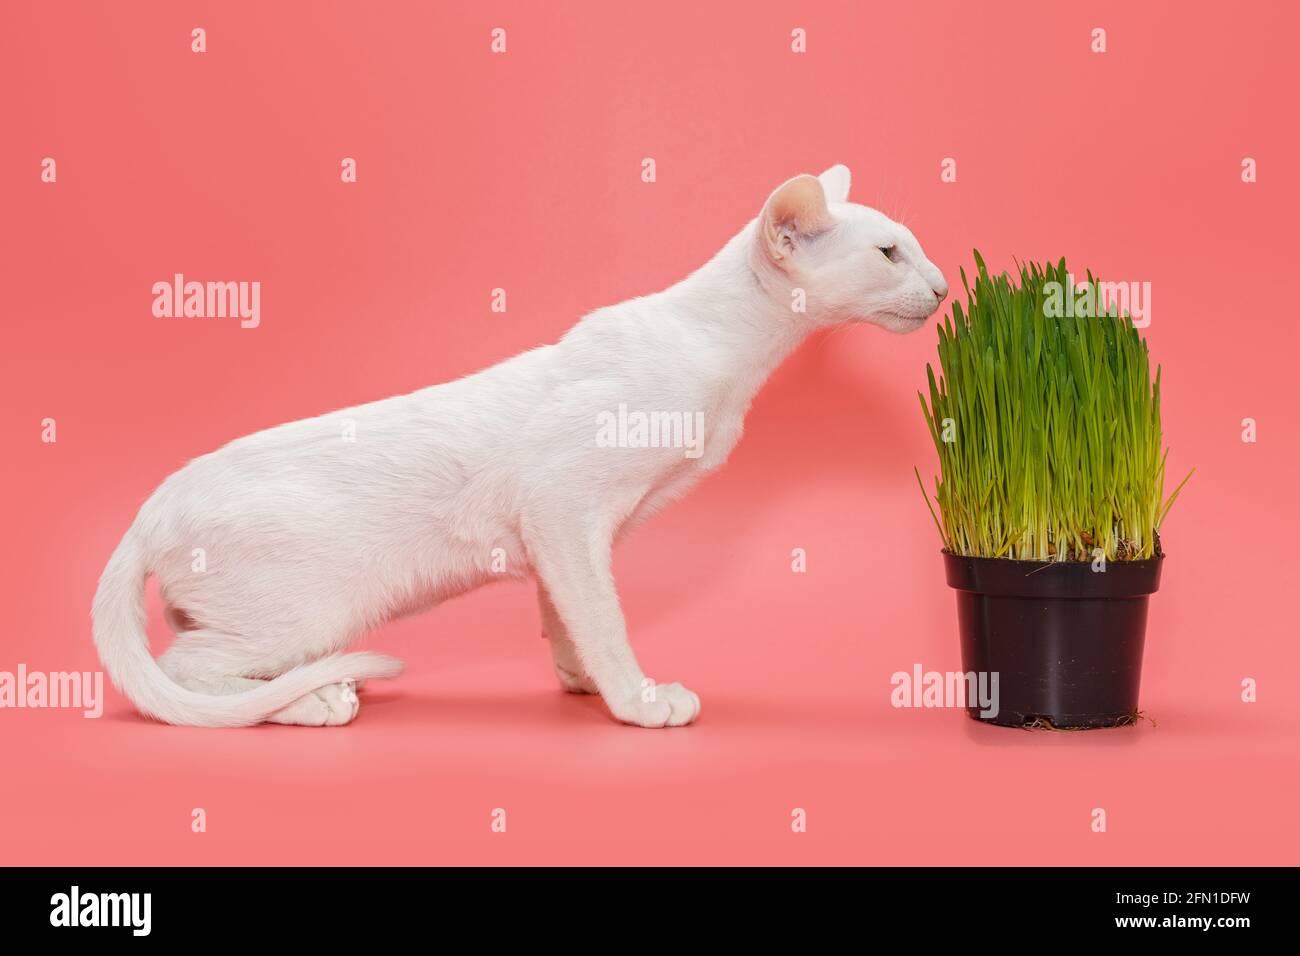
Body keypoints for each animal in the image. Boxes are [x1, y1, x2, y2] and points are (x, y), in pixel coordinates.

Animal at [91, 166, 946, 733]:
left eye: (914, 250)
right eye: (889, 254)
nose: (941, 288)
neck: (729, 359)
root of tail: (149, 511)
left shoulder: (570, 536)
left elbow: (567, 612)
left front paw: (583, 685)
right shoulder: (564, 504)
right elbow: (604, 616)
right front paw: (639, 701)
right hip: (309, 613)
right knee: (178, 677)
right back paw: (313, 699)